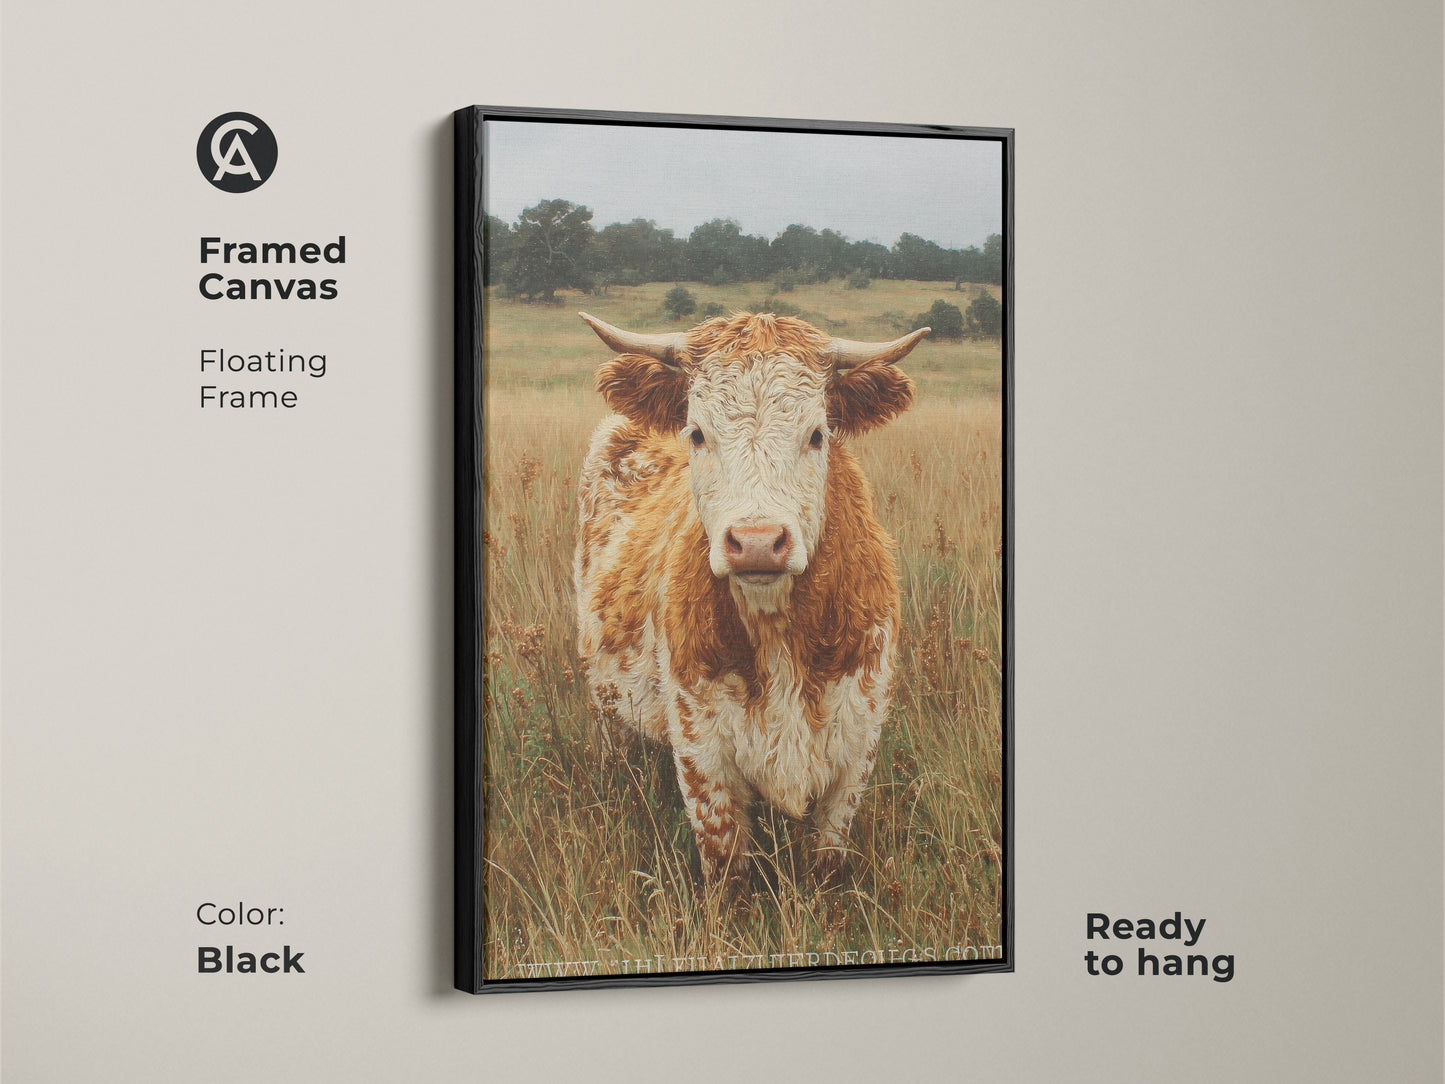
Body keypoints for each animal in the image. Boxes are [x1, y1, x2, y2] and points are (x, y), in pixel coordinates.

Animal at [573, 310, 929, 883]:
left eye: (817, 434)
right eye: (697, 433)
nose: (757, 542)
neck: (777, 632)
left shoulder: (857, 751)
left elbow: (829, 865)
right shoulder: (701, 755)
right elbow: (727, 873)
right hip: (604, 700)